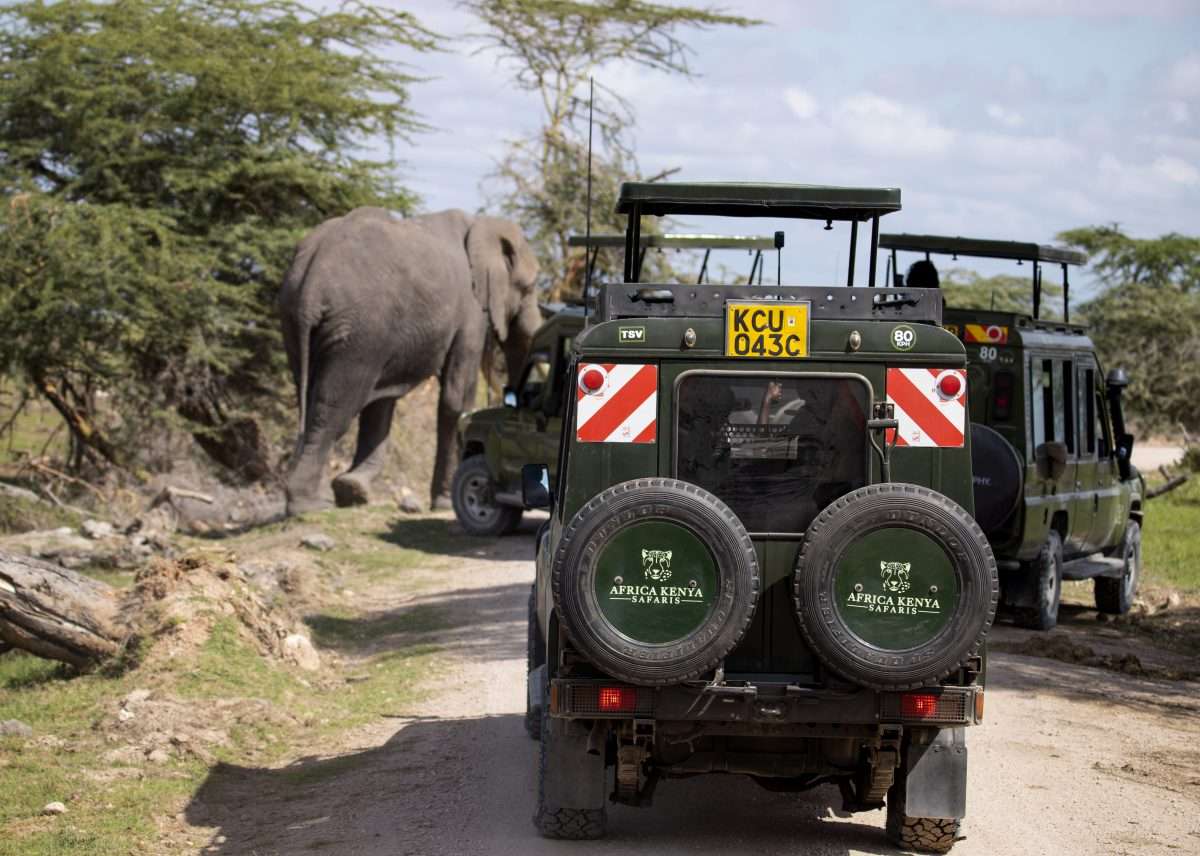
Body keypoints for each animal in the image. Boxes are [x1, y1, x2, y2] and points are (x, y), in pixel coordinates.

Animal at [278, 207, 541, 515]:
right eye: (530, 287)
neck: (481, 223)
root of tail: (311, 277)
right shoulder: (471, 312)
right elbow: (456, 399)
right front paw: (443, 504)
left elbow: (382, 403)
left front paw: (353, 489)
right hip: (359, 330)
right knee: (334, 410)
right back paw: (312, 506)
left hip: (300, 321)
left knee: (316, 400)